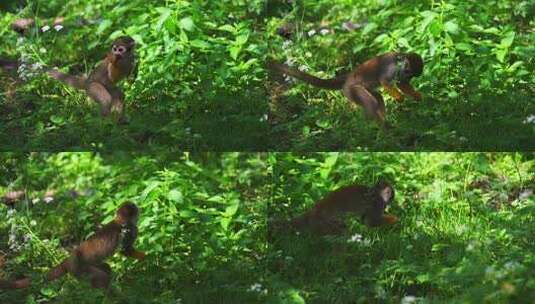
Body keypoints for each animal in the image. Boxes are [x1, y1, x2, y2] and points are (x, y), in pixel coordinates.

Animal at [270, 52, 426, 126]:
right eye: (407, 70)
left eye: (411, 75)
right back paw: (379, 127)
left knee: (377, 98)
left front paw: (416, 95)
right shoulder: (391, 67)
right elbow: (384, 81)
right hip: (351, 90)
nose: (406, 74)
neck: (399, 59)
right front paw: (399, 97)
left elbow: (401, 84)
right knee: (370, 102)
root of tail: (348, 78)